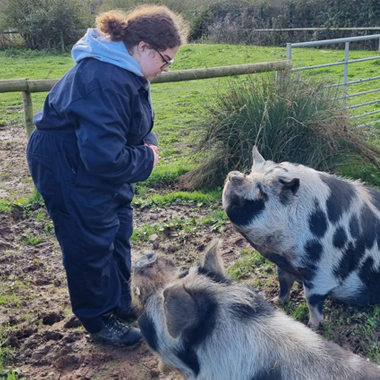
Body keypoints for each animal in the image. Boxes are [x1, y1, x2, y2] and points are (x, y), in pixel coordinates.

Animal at [223, 145, 380, 330]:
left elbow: (312, 299)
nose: (234, 175)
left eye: (262, 192)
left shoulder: (321, 269)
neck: (281, 252)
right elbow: (283, 282)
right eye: (250, 174)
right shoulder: (283, 265)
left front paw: (312, 326)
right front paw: (276, 302)